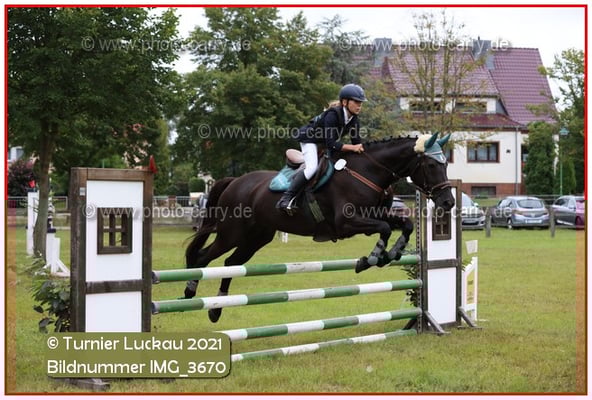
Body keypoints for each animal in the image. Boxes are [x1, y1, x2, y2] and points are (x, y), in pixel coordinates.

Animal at [184, 132, 455, 323]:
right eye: (431, 166)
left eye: (446, 164)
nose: (448, 202)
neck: (368, 171)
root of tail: (235, 181)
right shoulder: (346, 223)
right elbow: (385, 229)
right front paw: (371, 259)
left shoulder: (374, 216)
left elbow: (404, 225)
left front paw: (393, 253)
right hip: (232, 233)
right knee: (204, 257)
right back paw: (189, 292)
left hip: (256, 238)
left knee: (231, 263)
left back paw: (216, 310)